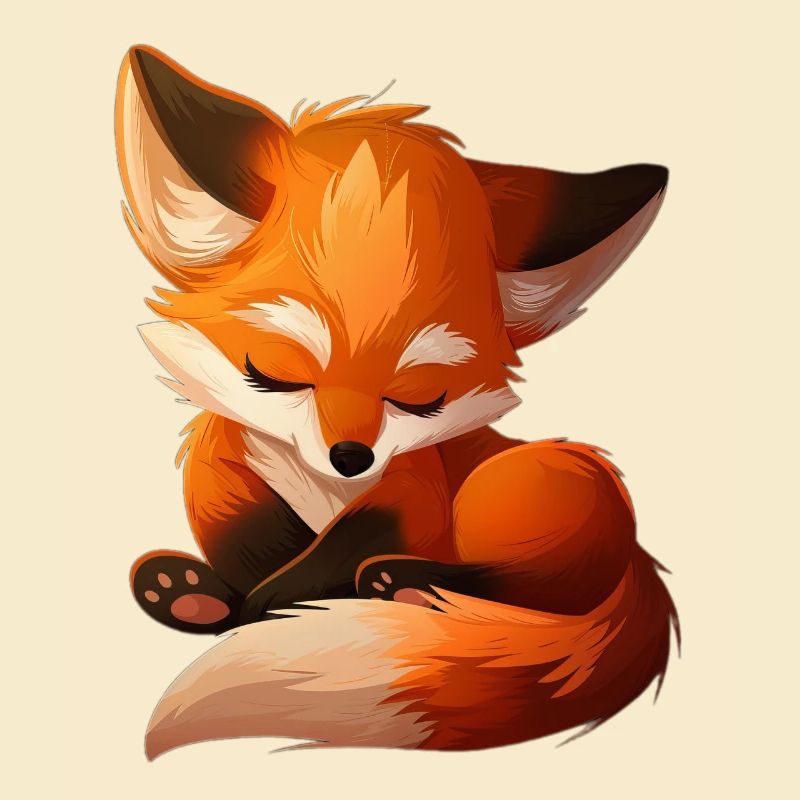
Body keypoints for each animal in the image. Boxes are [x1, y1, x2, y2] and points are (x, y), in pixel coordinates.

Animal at [117, 45, 678, 757]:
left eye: (419, 397)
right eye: (275, 374)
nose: (351, 456)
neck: (317, 485)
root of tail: (638, 557)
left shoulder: (413, 496)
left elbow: (337, 550)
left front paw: (270, 609)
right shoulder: (223, 478)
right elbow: (251, 541)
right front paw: (232, 599)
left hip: (503, 491)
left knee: (548, 581)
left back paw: (408, 588)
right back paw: (190, 594)